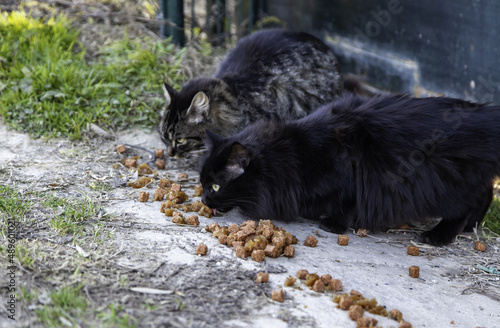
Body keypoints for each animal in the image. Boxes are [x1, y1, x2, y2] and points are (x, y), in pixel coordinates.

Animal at [199, 93, 500, 245]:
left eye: (216, 186)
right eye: (202, 185)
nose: (203, 199)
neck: (292, 156)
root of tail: (483, 114)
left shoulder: (348, 178)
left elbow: (347, 204)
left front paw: (333, 223)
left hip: (447, 183)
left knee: (467, 204)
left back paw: (440, 235)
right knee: (484, 195)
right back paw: (470, 227)